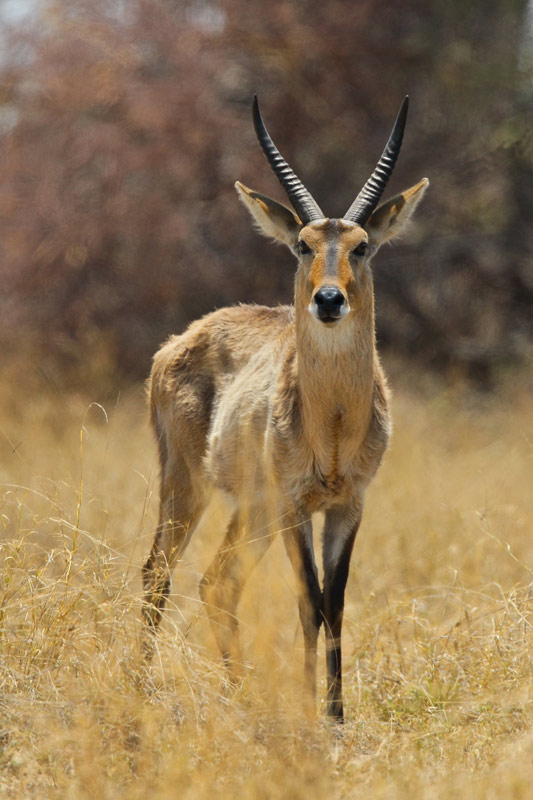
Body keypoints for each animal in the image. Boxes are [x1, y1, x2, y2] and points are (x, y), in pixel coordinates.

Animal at [142, 97, 428, 720]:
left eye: (361, 245)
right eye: (302, 244)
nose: (329, 299)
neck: (335, 424)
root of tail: (178, 341)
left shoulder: (349, 504)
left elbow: (336, 602)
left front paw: (336, 715)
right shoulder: (297, 503)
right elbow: (308, 600)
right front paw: (309, 708)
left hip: (254, 510)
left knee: (217, 582)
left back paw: (241, 695)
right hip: (188, 486)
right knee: (157, 573)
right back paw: (139, 686)